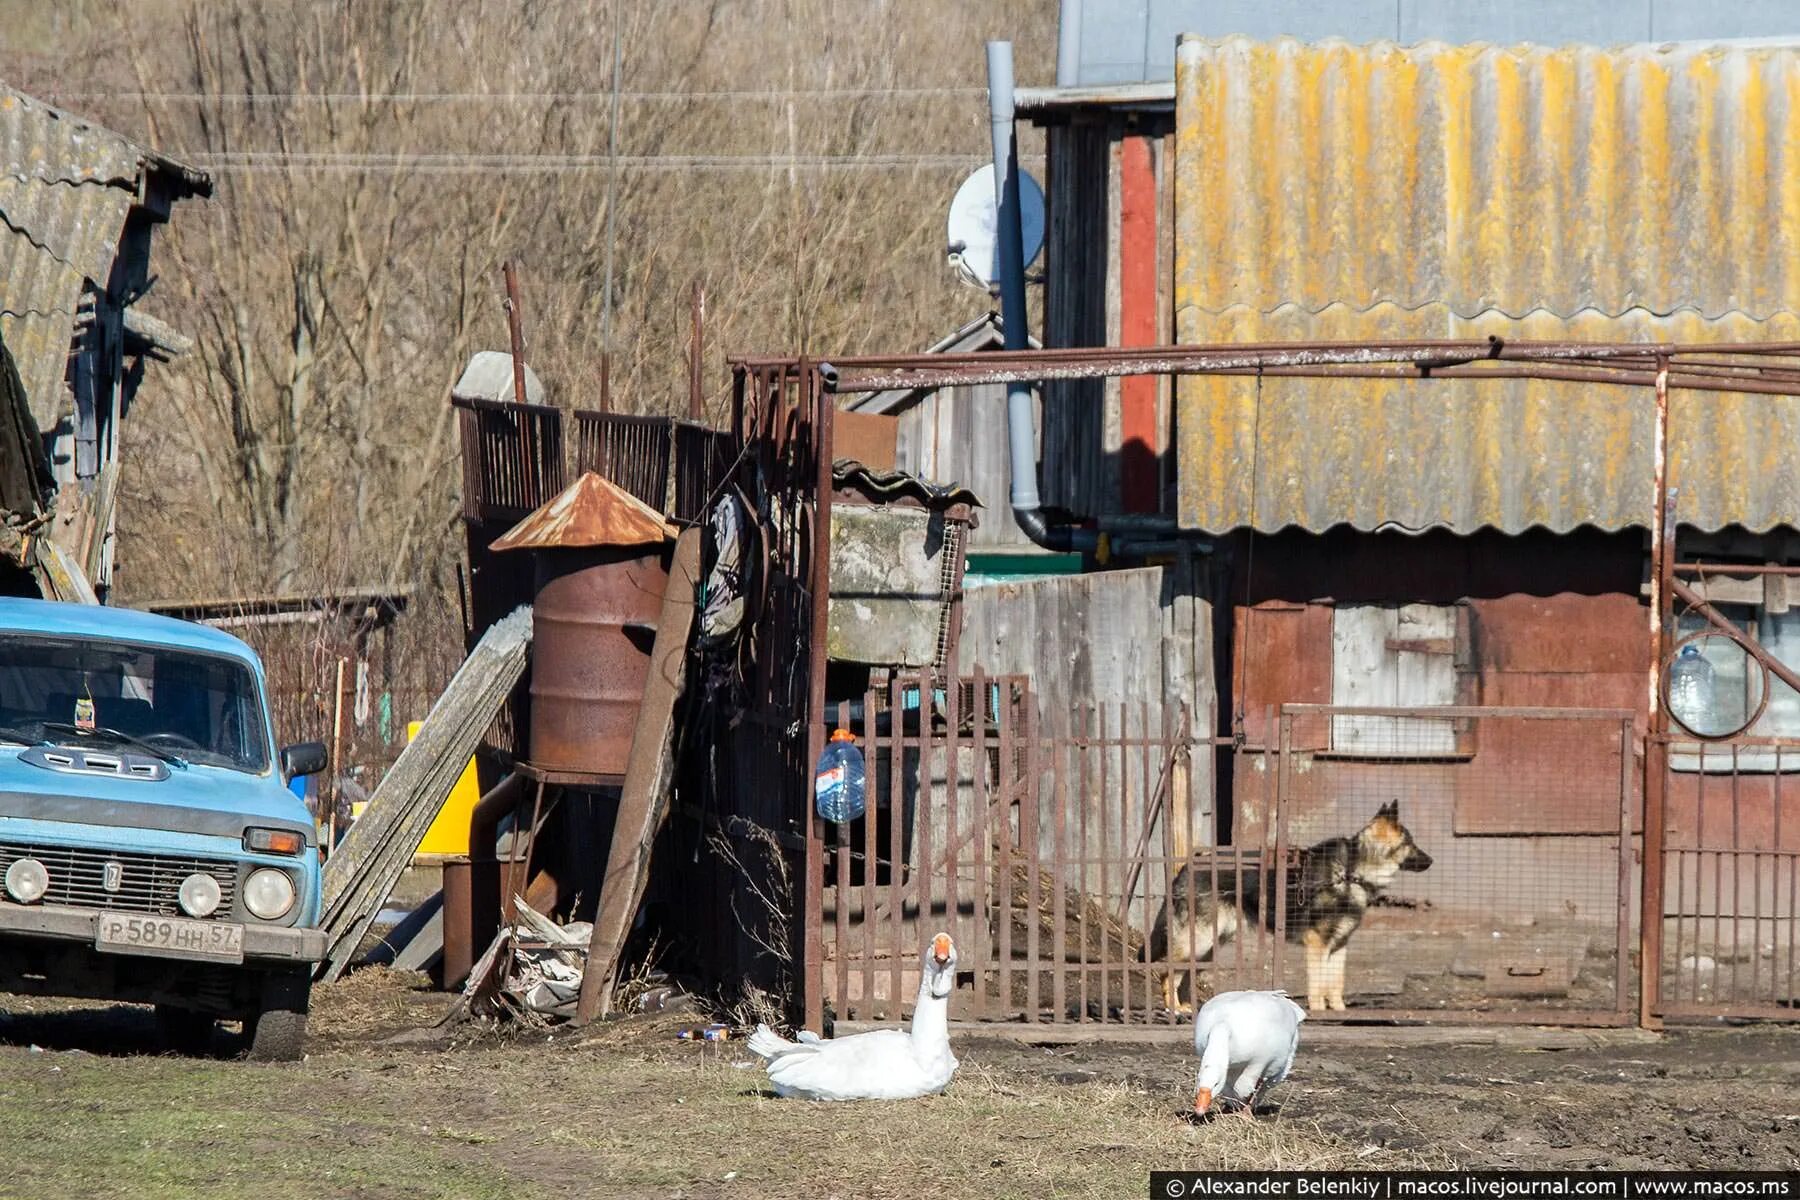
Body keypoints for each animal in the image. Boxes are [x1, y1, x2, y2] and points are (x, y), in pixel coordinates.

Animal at [1152, 805, 1432, 1014]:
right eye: (1410, 844)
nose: (1431, 861)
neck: (1351, 871)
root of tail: (1186, 867)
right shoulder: (1318, 945)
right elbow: (1318, 983)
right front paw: (1318, 1010)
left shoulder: (1339, 945)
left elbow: (1335, 983)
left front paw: (1338, 1010)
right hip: (1199, 941)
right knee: (1167, 972)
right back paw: (1174, 1008)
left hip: (1209, 946)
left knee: (1184, 974)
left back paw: (1186, 1007)